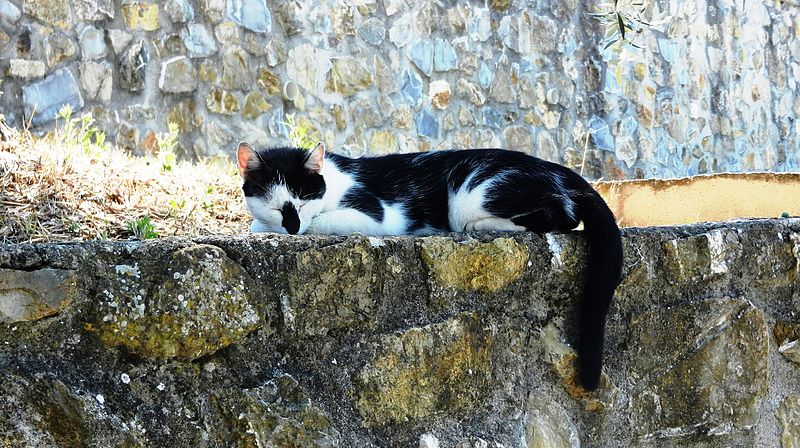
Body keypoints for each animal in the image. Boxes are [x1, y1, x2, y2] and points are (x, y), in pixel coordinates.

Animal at [238, 142, 624, 390]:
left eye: (302, 203)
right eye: (276, 206)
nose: (291, 226)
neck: (333, 181)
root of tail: (558, 169)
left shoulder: (376, 214)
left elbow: (321, 222)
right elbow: (256, 223)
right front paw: (266, 226)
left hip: (473, 191)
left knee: (563, 216)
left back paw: (482, 226)